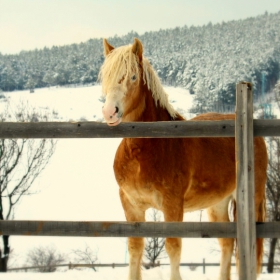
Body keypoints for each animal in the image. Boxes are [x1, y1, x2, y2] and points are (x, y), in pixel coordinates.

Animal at [98, 37, 266, 280]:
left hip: (252, 200)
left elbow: (173, 249)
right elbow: (135, 248)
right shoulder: (132, 205)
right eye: (107, 76)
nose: (110, 111)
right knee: (226, 243)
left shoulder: (172, 206)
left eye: (133, 76)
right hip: (218, 203)